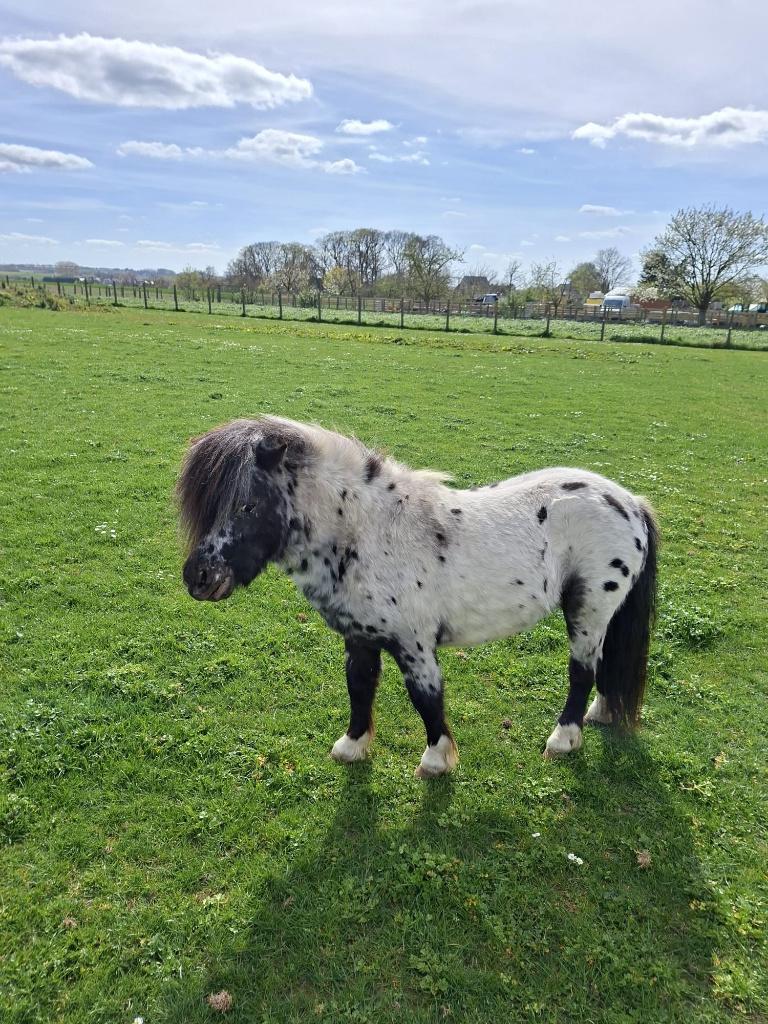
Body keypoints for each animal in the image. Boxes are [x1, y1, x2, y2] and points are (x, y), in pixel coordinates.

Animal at [177, 416, 658, 778]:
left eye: (248, 506)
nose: (199, 578)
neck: (369, 532)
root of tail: (630, 501)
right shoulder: (359, 637)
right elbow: (359, 686)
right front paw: (352, 747)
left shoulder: (414, 643)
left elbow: (426, 697)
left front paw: (435, 760)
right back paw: (601, 713)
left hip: (588, 609)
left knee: (581, 671)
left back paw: (564, 738)